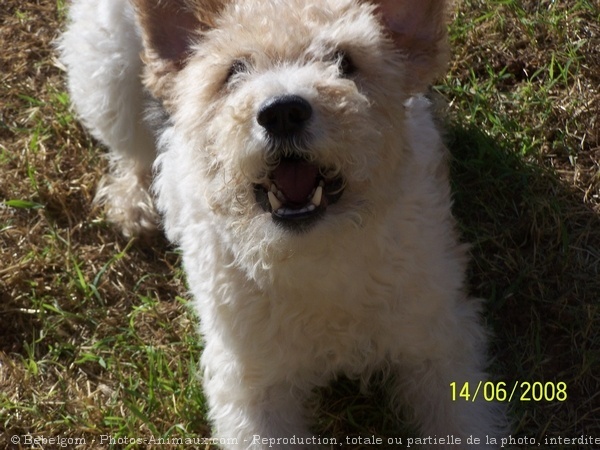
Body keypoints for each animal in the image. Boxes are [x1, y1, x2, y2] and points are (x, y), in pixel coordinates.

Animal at [59, 0, 506, 448]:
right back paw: (132, 204)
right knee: (131, 148)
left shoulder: (438, 341)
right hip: (106, 70)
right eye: (234, 70)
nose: (283, 112)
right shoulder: (249, 382)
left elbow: (463, 423)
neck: (316, 257)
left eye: (346, 62)